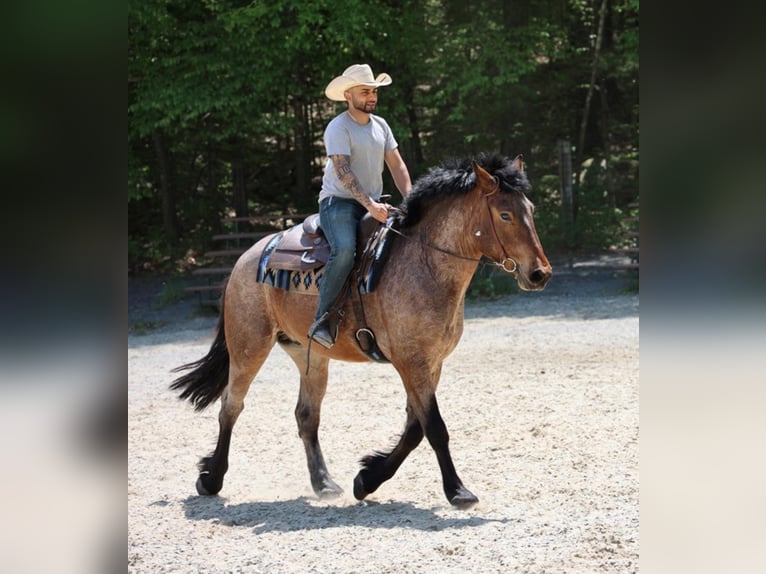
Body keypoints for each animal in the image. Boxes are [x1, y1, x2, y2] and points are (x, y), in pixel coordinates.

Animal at [172, 153, 552, 508]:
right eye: (505, 215)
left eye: (531, 209)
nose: (540, 273)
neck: (424, 264)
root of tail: (247, 257)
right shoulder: (411, 362)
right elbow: (434, 427)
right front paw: (457, 490)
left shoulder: (431, 363)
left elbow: (415, 428)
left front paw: (367, 479)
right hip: (249, 346)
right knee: (231, 406)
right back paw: (211, 478)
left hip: (309, 356)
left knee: (306, 415)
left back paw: (324, 483)